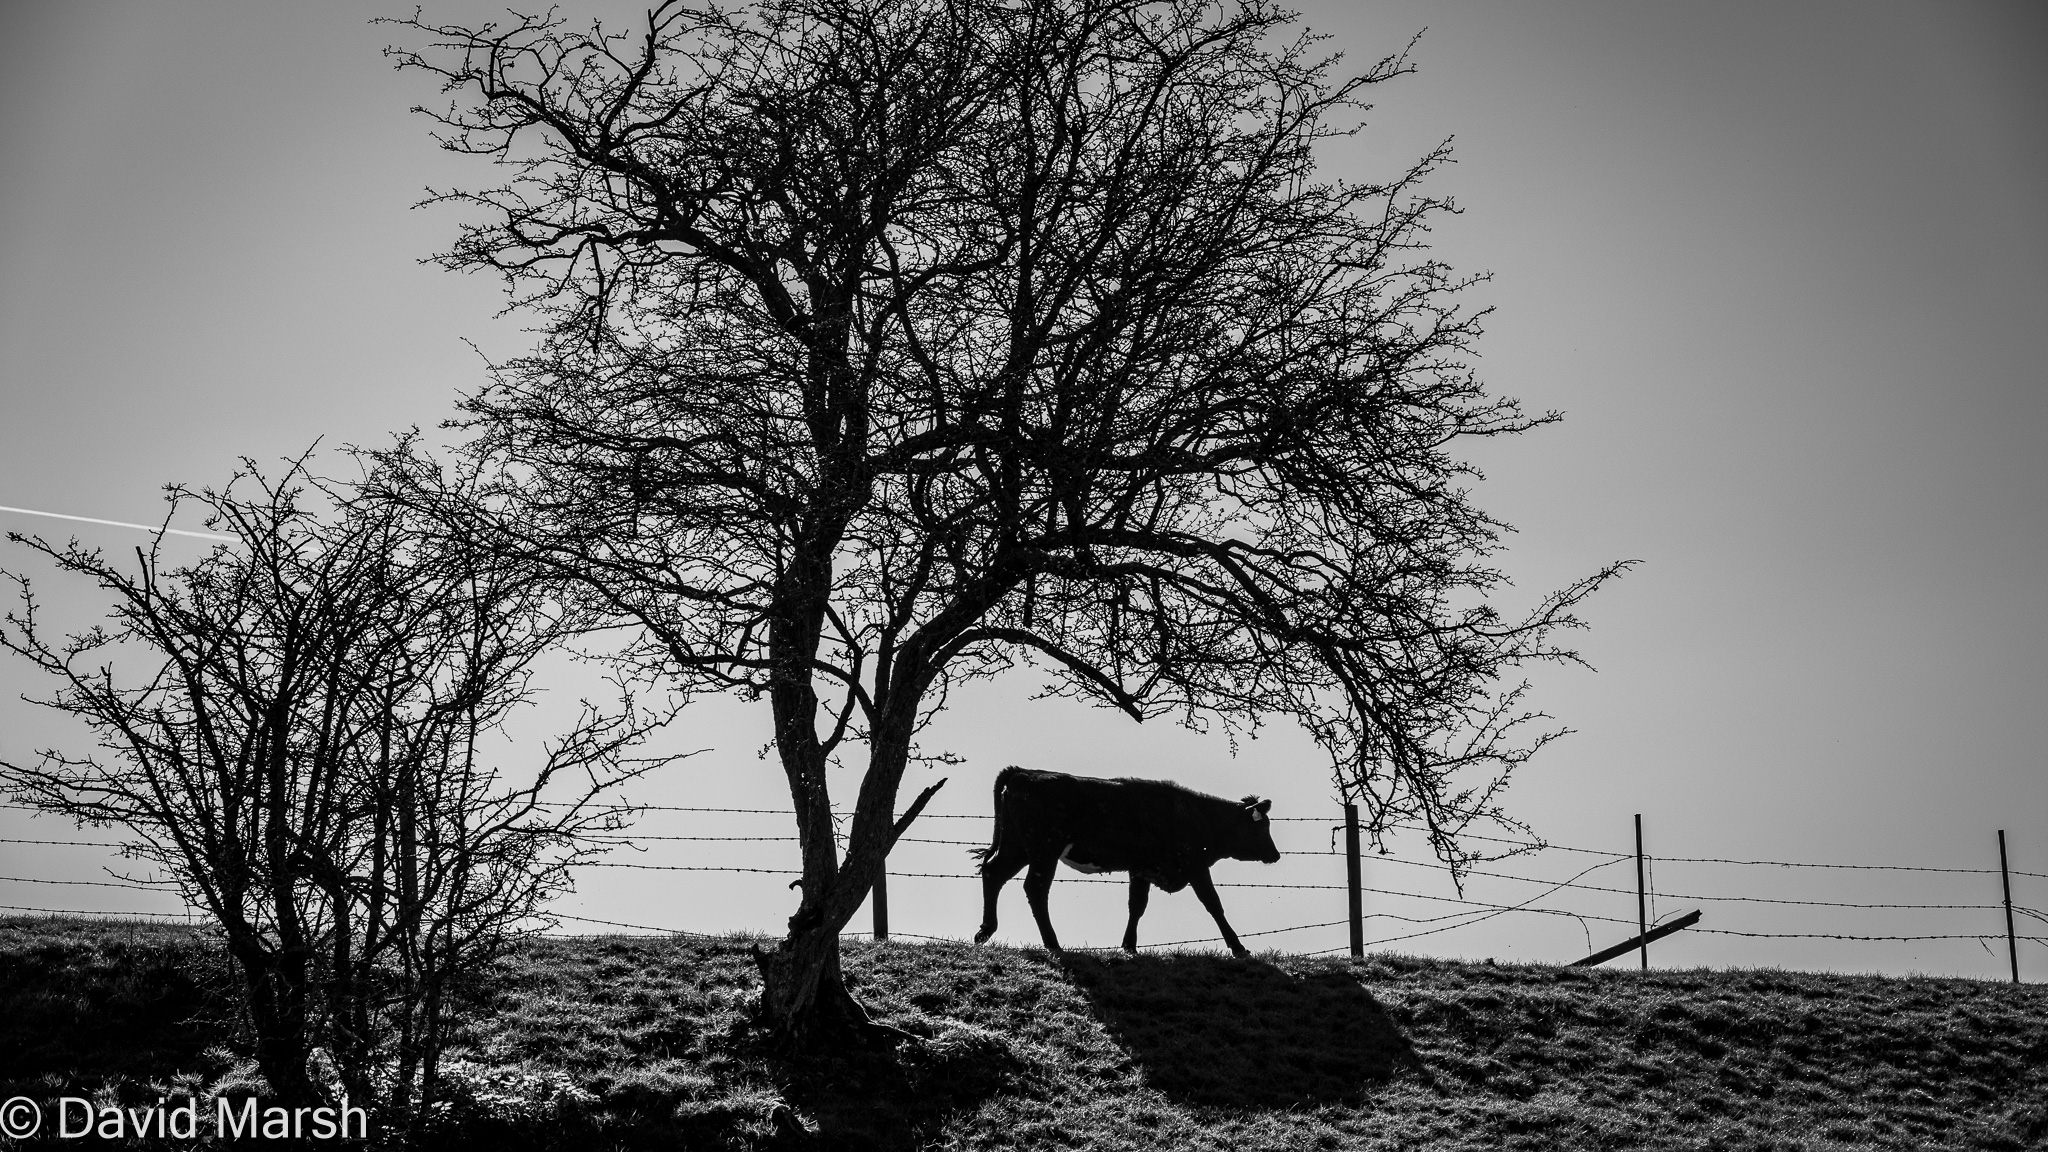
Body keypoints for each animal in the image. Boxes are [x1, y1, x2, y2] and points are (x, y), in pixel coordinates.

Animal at [970, 766, 1281, 957]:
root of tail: (1023, 772)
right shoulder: (1195, 865)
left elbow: (1137, 905)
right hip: (1043, 849)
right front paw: (1238, 947)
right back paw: (1053, 943)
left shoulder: (1140, 868)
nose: (1275, 855)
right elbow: (1213, 904)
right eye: (1261, 827)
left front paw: (1129, 947)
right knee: (1035, 889)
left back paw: (986, 930)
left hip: (1016, 847)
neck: (1199, 815)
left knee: (993, 873)